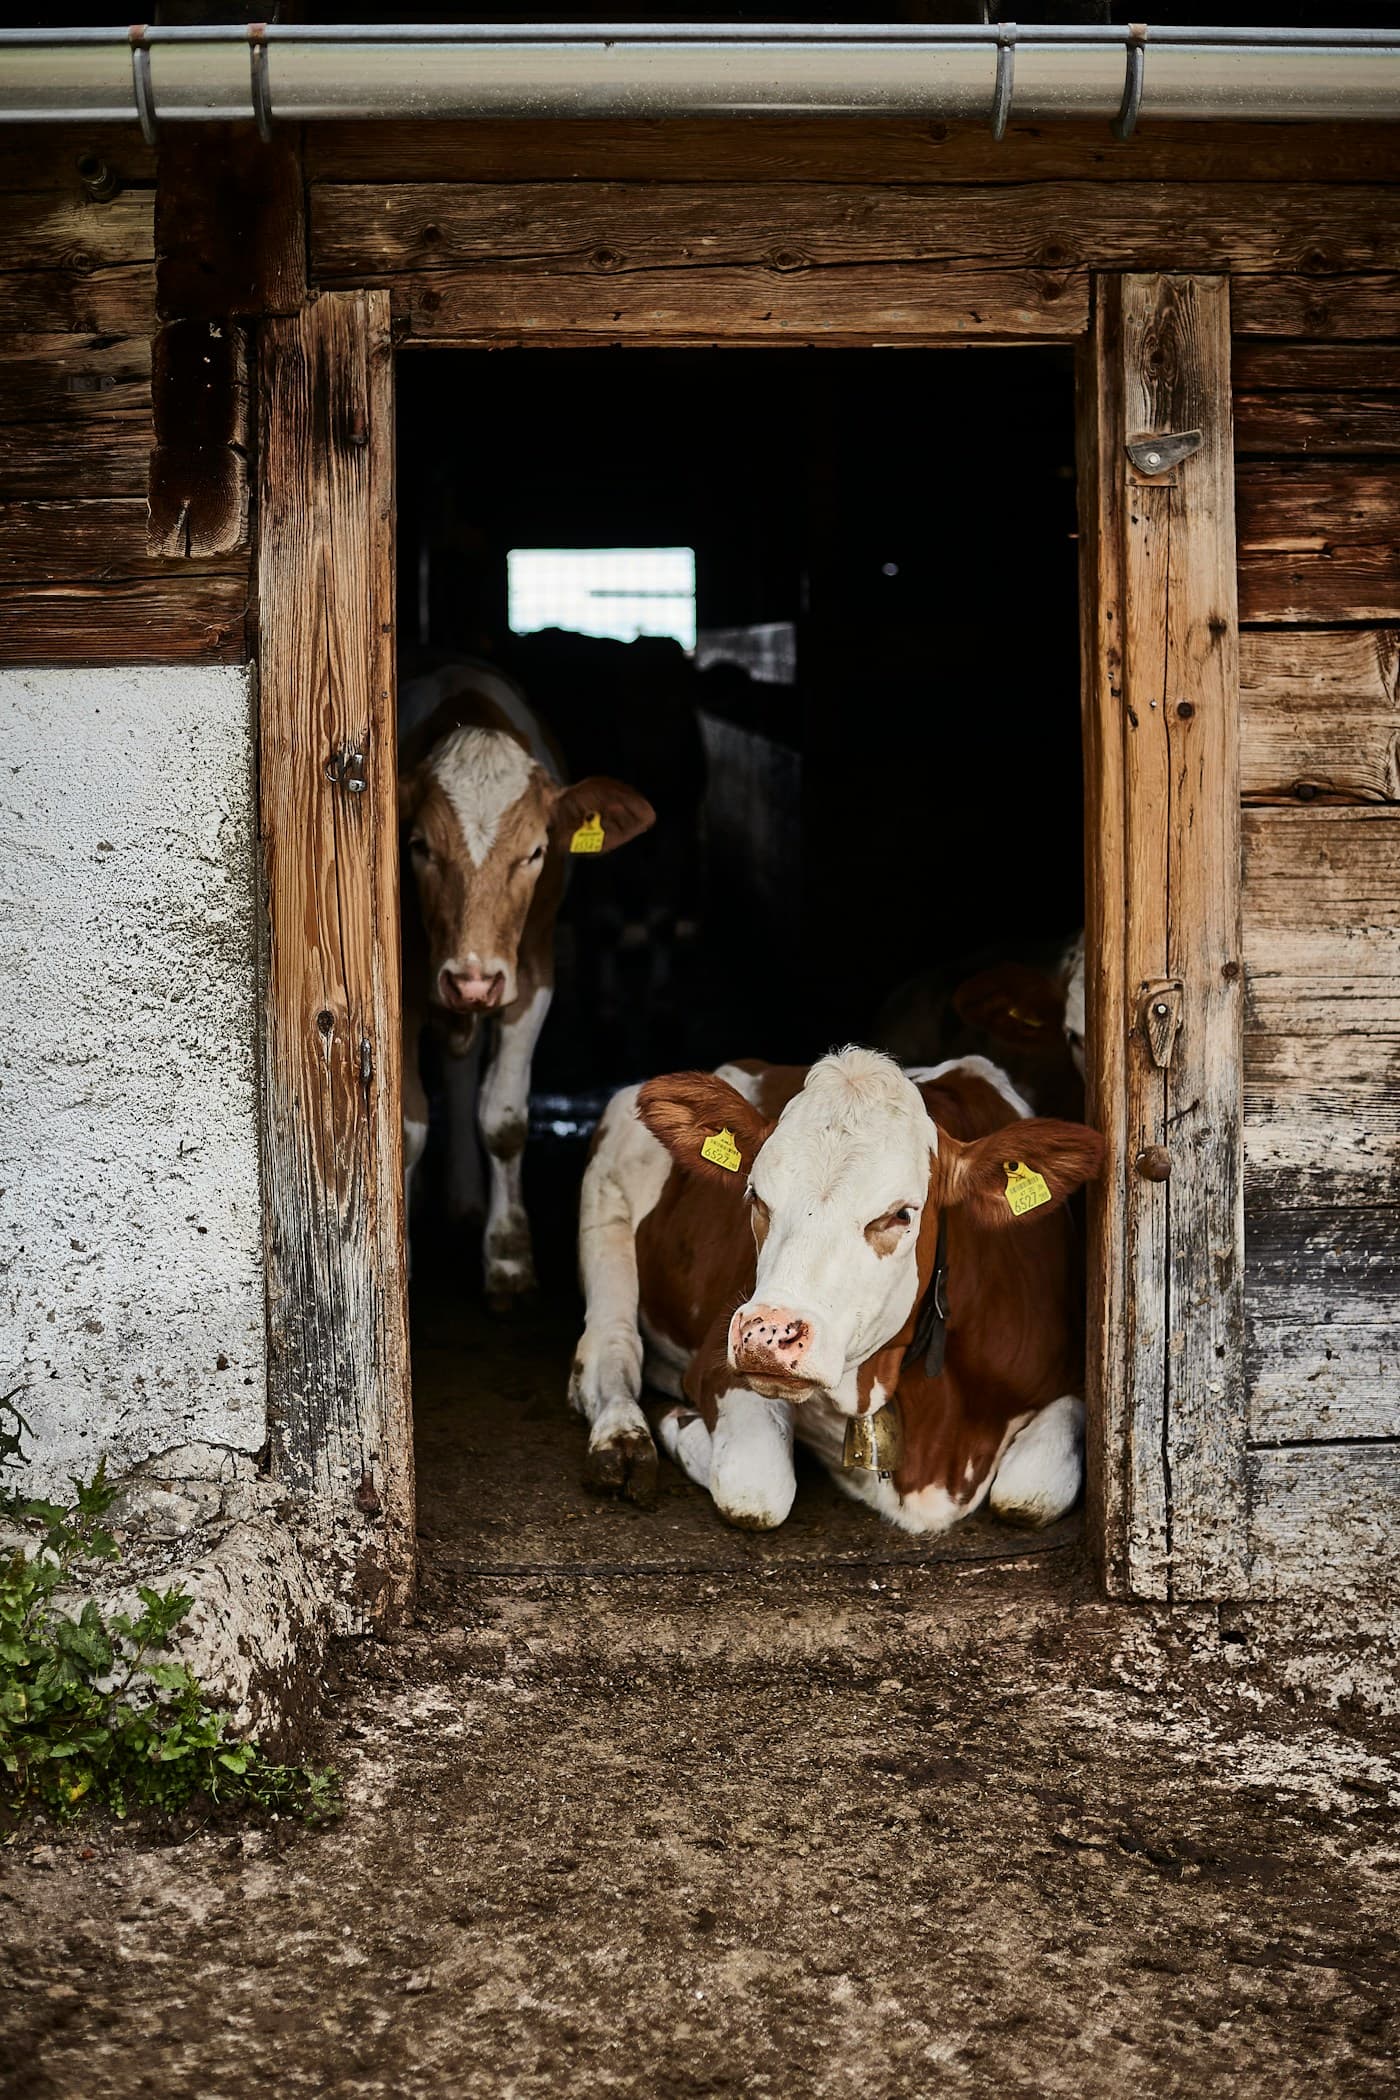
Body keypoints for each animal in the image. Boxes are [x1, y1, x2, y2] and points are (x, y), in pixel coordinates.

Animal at [398, 661, 655, 1304]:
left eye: (536, 852)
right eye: (419, 847)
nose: (472, 980)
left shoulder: (533, 973)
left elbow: (505, 1117)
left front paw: (509, 1256)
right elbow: (407, 1125)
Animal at [569, 1046, 1103, 1533]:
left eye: (901, 1214)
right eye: (756, 1196)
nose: (767, 1335)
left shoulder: (1071, 1378)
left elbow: (1029, 1494)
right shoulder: (717, 1367)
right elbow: (755, 1492)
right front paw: (675, 1420)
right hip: (605, 1209)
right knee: (611, 1348)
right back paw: (622, 1439)